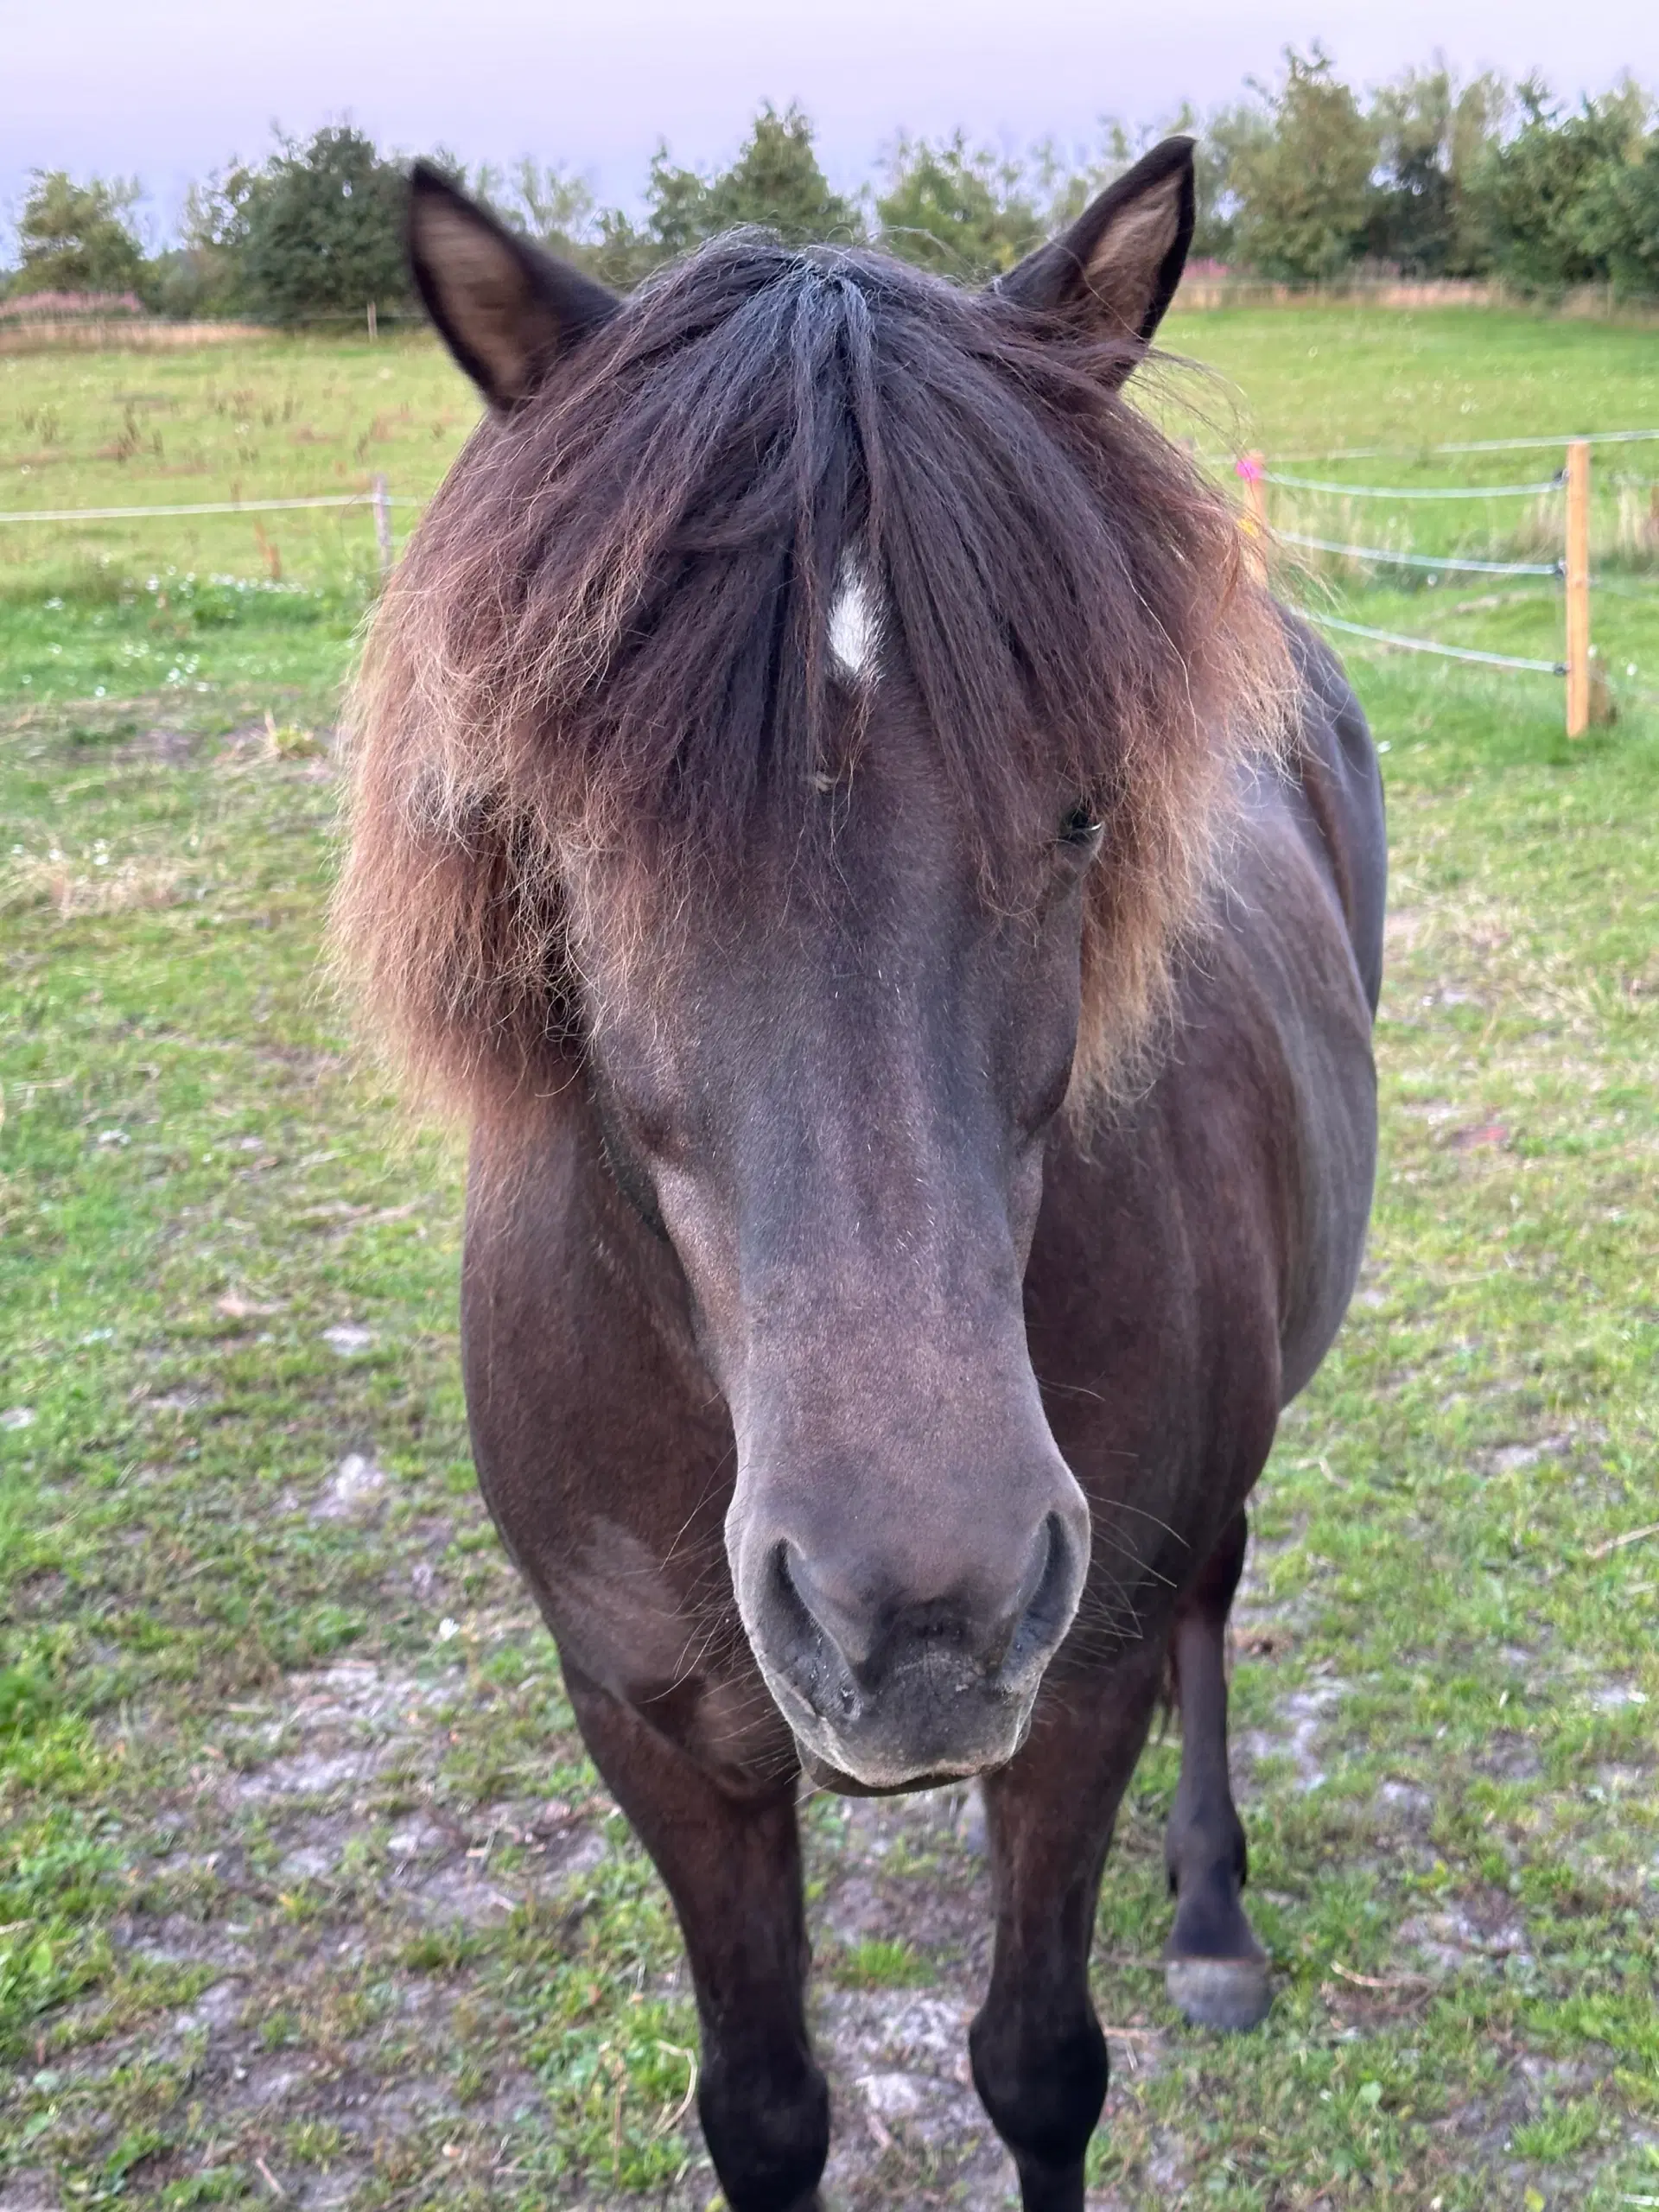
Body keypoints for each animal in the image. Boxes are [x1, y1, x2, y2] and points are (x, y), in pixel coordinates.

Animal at [332, 143, 1380, 2212]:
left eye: (1082, 816)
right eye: (577, 841)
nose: (925, 1617)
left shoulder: (1073, 1697)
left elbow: (1040, 2065)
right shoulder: (660, 1737)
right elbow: (764, 2108)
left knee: (1214, 1598)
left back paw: (1212, 1910)